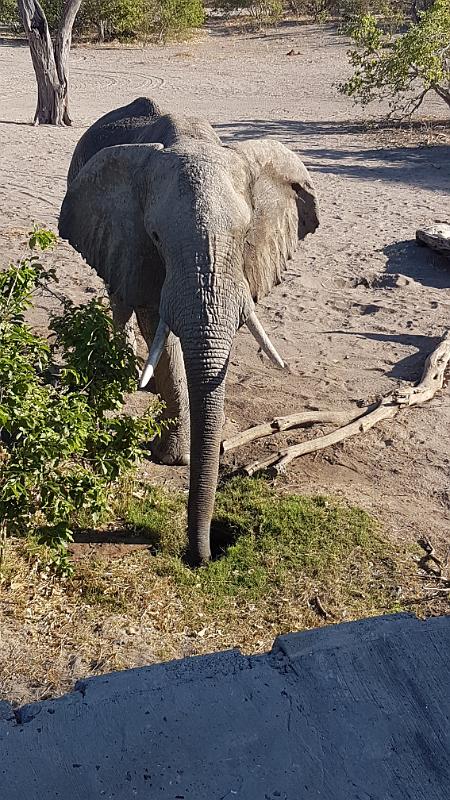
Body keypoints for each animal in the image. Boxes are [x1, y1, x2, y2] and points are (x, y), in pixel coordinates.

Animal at [59, 98, 320, 564]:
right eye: (156, 236)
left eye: (246, 233)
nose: (203, 555)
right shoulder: (134, 239)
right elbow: (156, 324)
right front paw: (176, 458)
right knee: (119, 291)